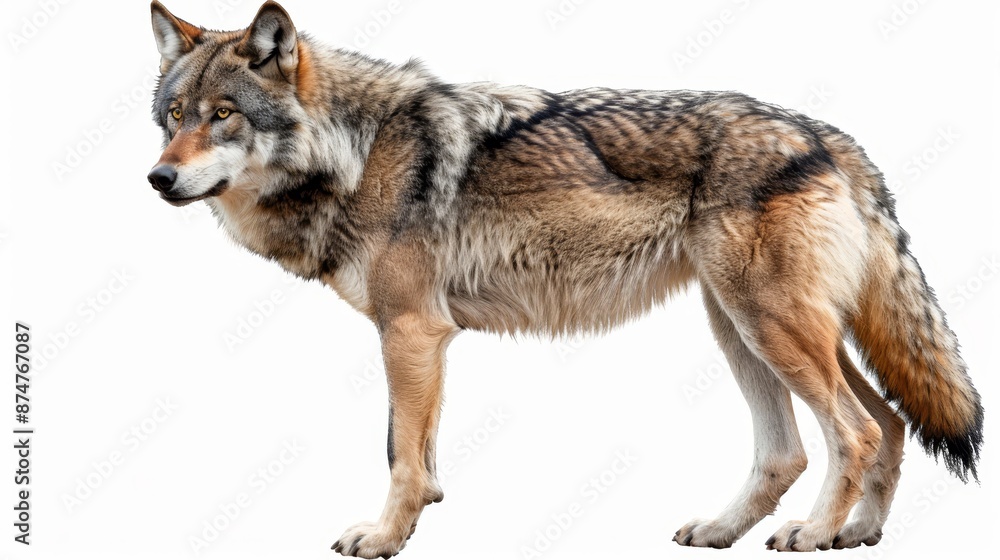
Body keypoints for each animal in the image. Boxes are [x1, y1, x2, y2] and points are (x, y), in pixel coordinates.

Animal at [147, 1, 982, 556]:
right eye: (174, 115)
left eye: (223, 115)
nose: (157, 179)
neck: (358, 150)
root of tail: (827, 134)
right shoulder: (419, 339)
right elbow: (419, 453)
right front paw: (417, 516)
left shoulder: (411, 330)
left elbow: (399, 456)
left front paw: (385, 537)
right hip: (744, 328)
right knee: (853, 432)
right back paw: (819, 531)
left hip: (767, 325)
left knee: (858, 428)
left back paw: (812, 531)